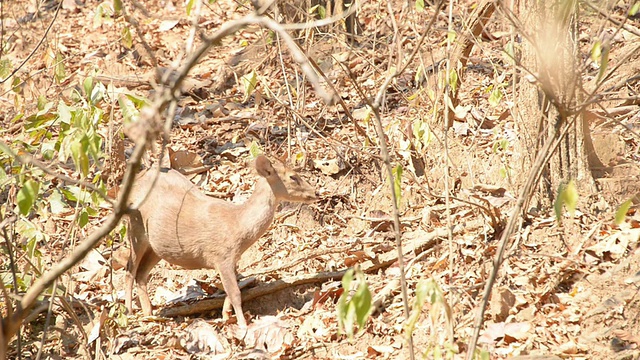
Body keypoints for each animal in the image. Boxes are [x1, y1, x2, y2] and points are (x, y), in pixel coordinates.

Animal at [124, 155, 316, 326]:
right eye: (293, 177)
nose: (315, 192)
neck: (237, 227)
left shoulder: (232, 260)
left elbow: (231, 291)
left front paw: (225, 316)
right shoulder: (221, 256)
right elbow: (235, 293)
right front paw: (243, 326)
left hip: (157, 247)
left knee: (141, 274)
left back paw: (149, 314)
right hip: (135, 226)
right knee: (130, 269)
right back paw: (129, 312)